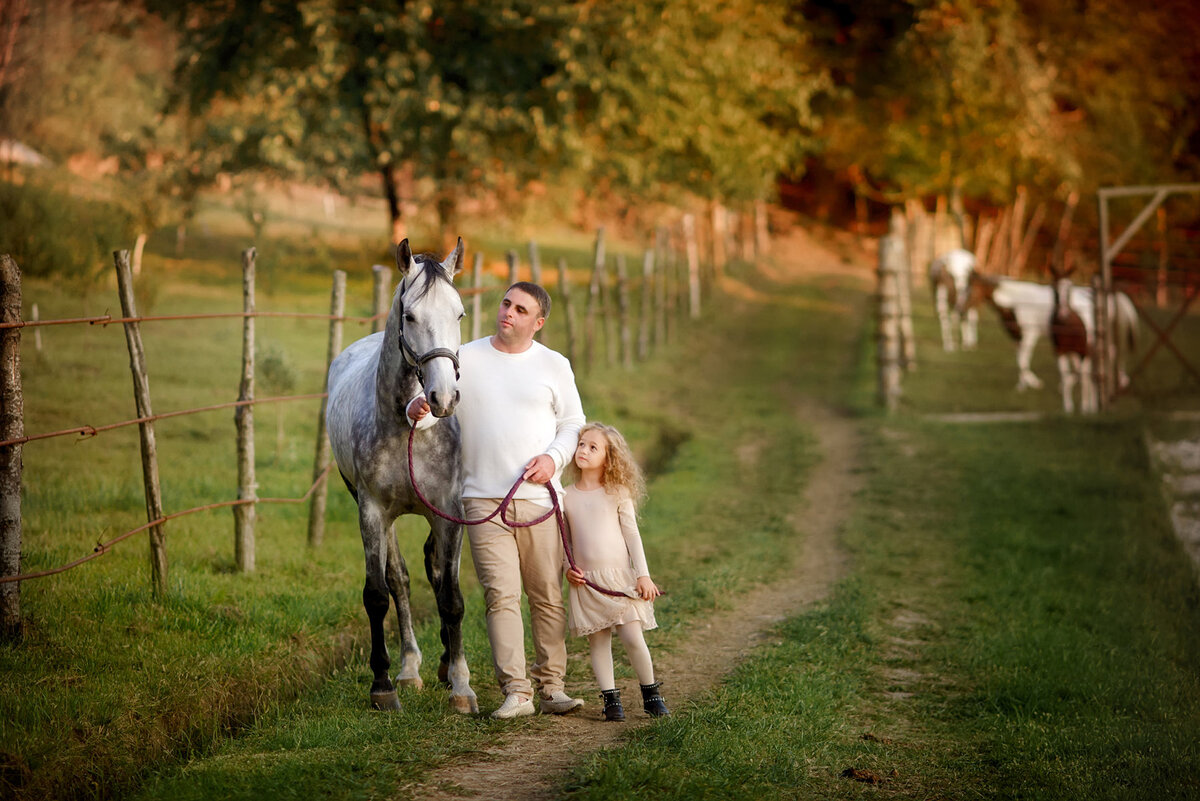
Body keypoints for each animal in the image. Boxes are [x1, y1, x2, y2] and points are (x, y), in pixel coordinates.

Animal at [328, 239, 482, 714]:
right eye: (409, 316)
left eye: (459, 314)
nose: (443, 397)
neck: (407, 426)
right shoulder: (372, 511)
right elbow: (379, 592)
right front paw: (382, 686)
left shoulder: (449, 511)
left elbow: (451, 597)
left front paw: (462, 687)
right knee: (400, 579)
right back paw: (410, 667)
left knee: (435, 572)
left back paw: (445, 665)